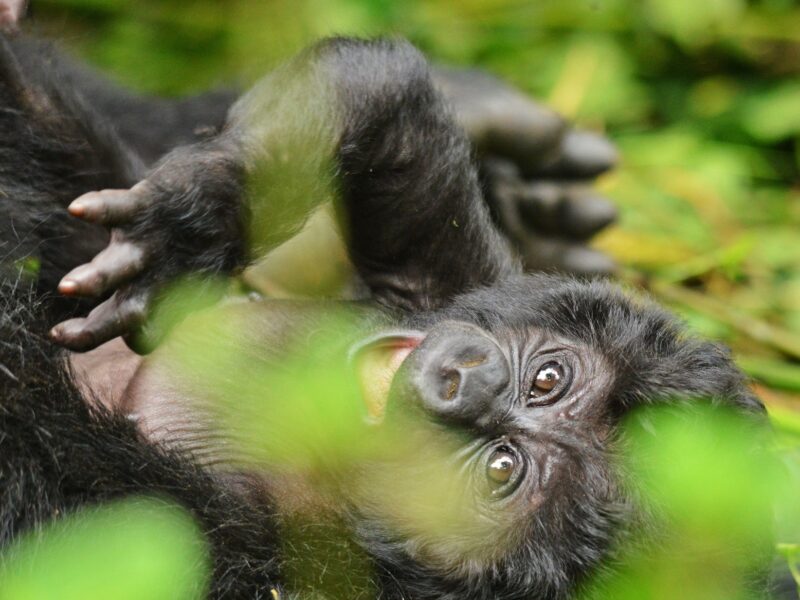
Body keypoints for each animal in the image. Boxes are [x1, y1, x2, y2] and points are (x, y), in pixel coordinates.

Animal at [0, 28, 779, 600]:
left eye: (503, 469)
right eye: (548, 379)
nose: (466, 383)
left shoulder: (251, 556)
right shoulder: (465, 280)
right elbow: (384, 99)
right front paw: (195, 218)